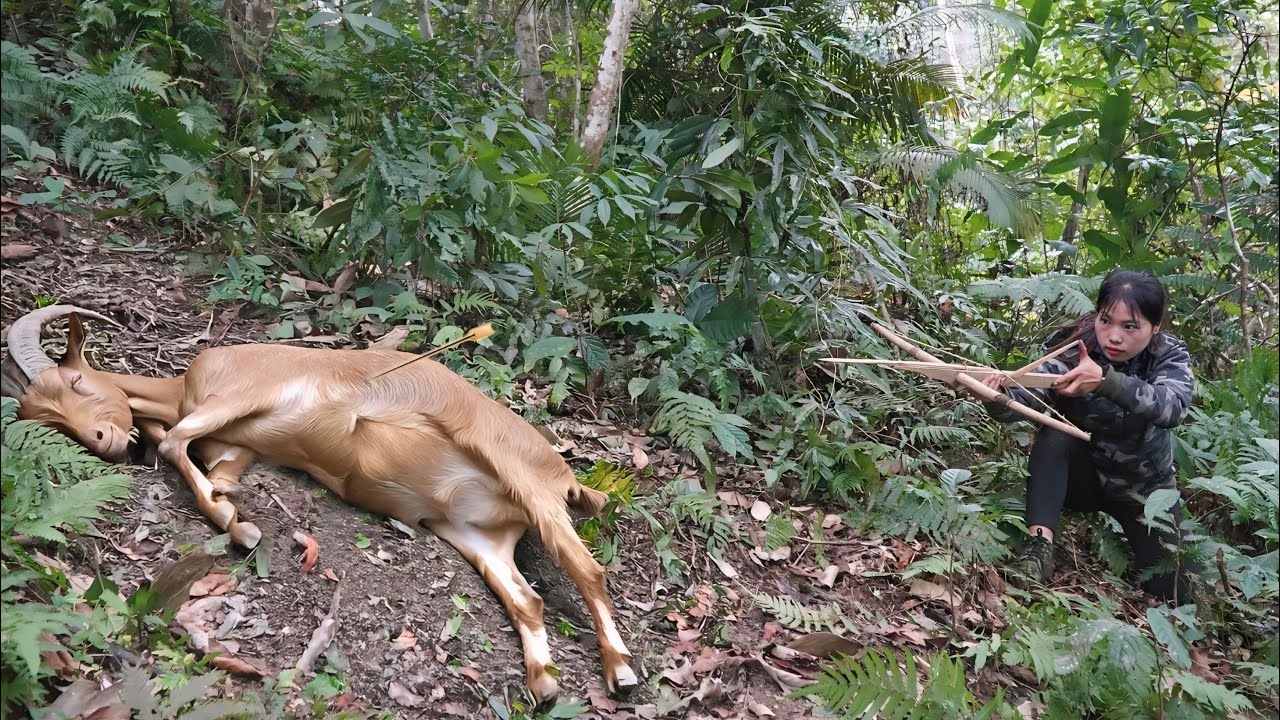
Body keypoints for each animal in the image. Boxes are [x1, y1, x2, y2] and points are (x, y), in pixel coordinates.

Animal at [3, 304, 637, 702]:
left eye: (77, 384)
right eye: (48, 420)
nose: (104, 442)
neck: (180, 389)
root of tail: (563, 472)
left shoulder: (243, 394)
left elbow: (175, 442)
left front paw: (239, 523)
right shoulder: (235, 444)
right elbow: (197, 459)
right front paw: (233, 511)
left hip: (527, 481)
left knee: (588, 570)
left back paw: (621, 669)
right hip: (477, 534)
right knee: (528, 600)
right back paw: (544, 681)